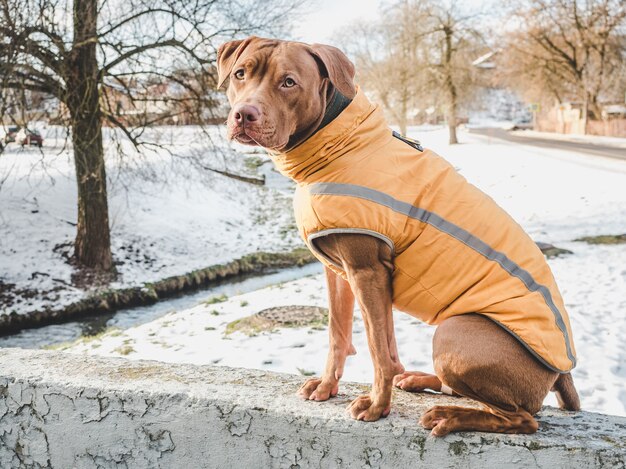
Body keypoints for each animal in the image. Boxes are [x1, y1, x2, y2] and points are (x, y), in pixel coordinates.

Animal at [216, 36, 580, 436]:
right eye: (240, 73)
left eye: (289, 82)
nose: (244, 114)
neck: (337, 142)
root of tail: (562, 372)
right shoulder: (339, 272)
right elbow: (340, 333)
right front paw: (327, 386)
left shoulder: (367, 271)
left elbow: (378, 348)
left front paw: (377, 405)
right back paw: (420, 380)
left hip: (455, 331)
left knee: (522, 418)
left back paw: (449, 416)